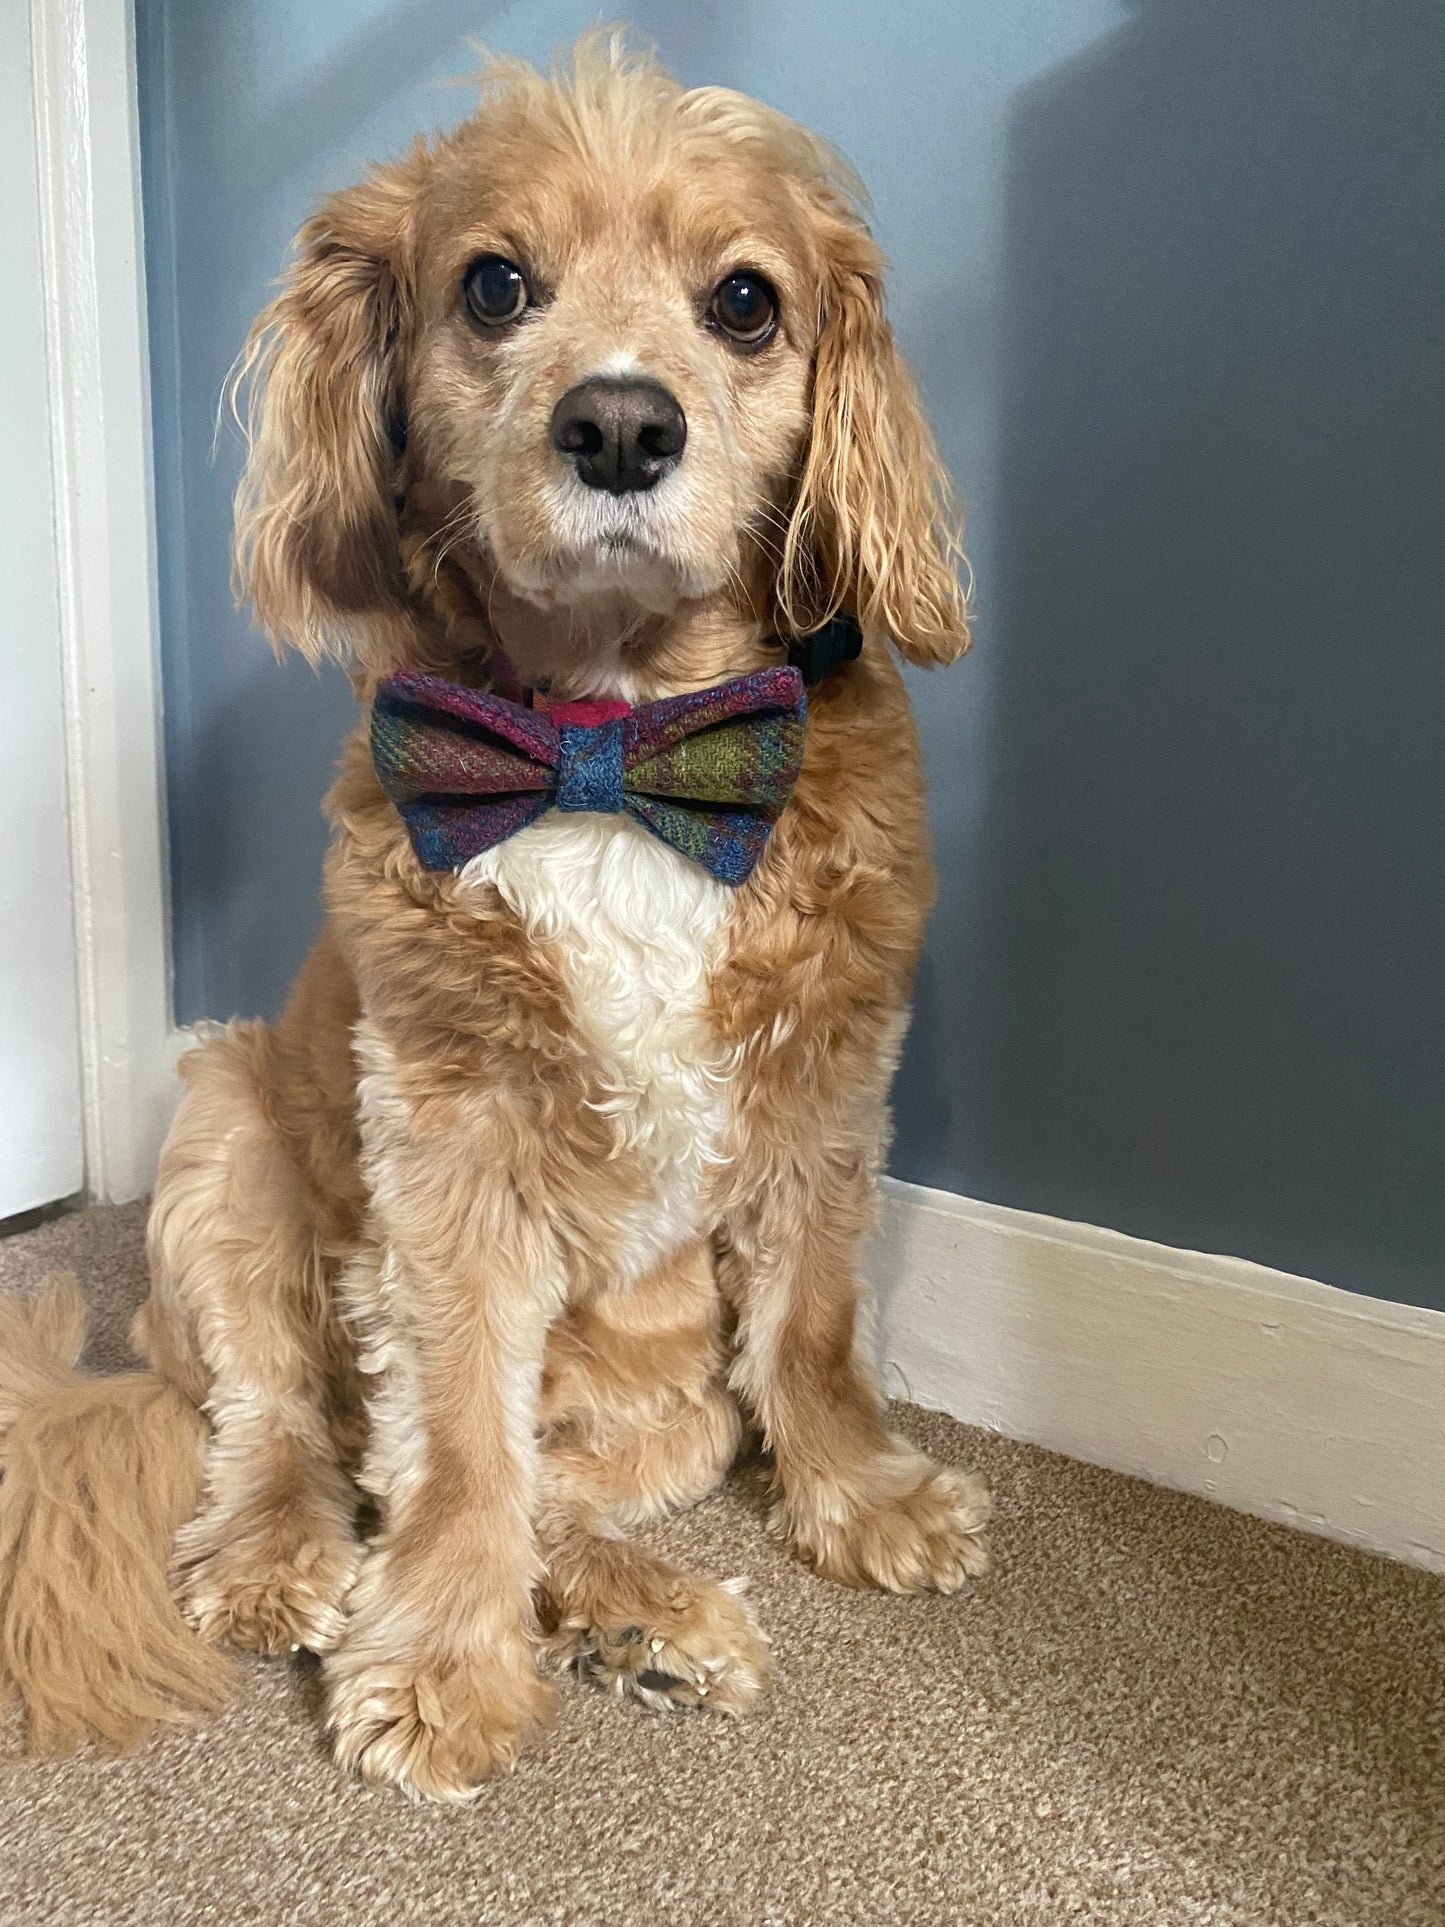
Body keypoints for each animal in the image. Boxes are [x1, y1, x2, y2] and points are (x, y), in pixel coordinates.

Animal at [0, 33, 994, 1803]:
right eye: (492, 285)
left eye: (747, 301)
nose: (618, 423)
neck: (610, 739)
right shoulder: (447, 1137)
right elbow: (458, 1432)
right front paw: (443, 1666)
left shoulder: (823, 1082)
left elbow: (810, 1326)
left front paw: (864, 1496)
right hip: (224, 1134)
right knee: (288, 1421)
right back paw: (283, 1556)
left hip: (659, 1389)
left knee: (555, 1482)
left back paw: (648, 1616)